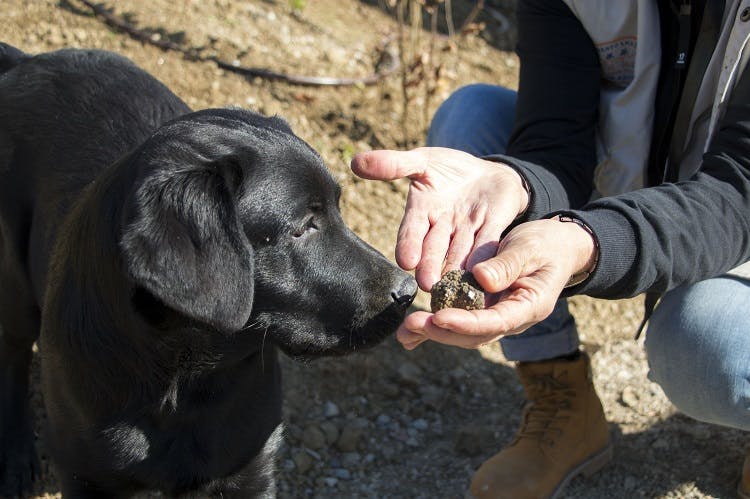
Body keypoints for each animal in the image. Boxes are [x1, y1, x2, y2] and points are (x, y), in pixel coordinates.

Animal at [0, 44, 418, 499]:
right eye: (303, 226)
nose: (409, 291)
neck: (187, 382)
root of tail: (30, 60)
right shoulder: (86, 474)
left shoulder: (248, 466)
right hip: (14, 280)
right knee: (14, 354)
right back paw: (16, 454)